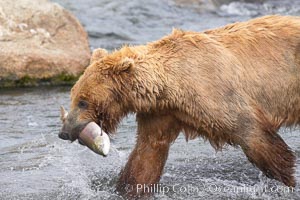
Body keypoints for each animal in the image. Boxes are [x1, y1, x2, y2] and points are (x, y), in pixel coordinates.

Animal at [58, 14, 300, 198]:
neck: (171, 87)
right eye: (73, 96)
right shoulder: (162, 113)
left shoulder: (217, 93)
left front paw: (287, 181)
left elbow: (253, 136)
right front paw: (128, 189)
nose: (63, 132)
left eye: (83, 101)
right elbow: (147, 154)